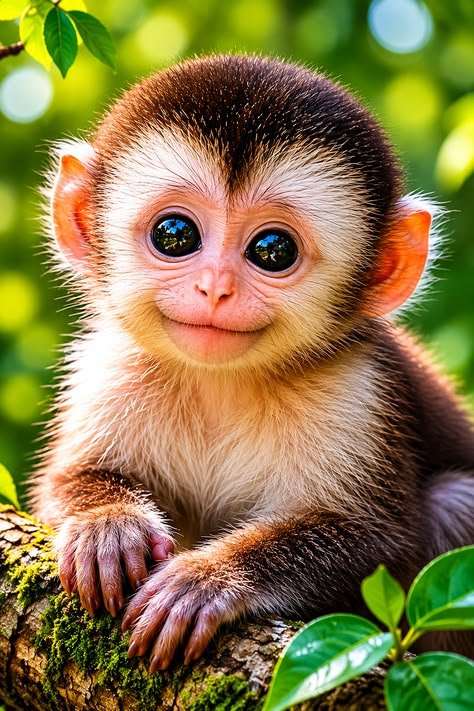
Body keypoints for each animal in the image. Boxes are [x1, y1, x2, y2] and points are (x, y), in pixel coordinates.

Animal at [30, 54, 474, 671]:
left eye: (273, 250)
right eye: (175, 235)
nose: (215, 287)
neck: (223, 384)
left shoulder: (359, 391)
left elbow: (379, 540)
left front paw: (211, 578)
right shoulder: (112, 369)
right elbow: (58, 485)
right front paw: (107, 526)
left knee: (458, 503)